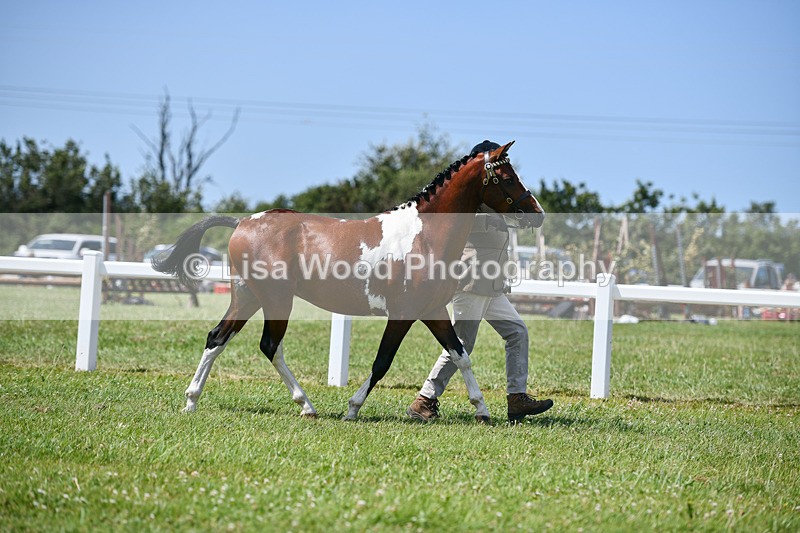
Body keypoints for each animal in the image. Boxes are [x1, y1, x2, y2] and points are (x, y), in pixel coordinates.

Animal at [153, 141, 544, 422]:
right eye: (507, 177)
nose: (537, 213)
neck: (425, 236)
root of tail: (243, 222)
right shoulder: (402, 314)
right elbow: (382, 362)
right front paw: (353, 408)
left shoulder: (432, 310)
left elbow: (459, 355)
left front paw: (483, 409)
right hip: (276, 300)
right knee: (269, 345)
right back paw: (306, 405)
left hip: (247, 297)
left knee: (217, 337)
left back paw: (191, 401)